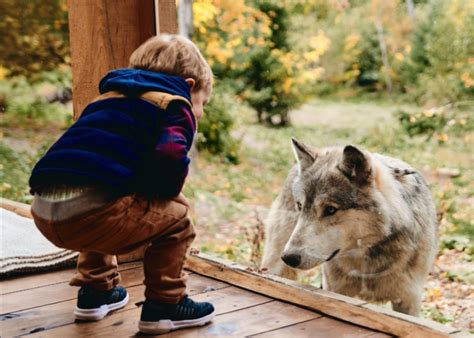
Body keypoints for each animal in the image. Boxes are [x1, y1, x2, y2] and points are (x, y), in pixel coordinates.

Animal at [262, 137, 438, 316]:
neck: (365, 259)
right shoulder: (334, 290)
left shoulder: (409, 300)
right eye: (300, 206)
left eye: (330, 209)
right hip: (275, 266)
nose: (289, 257)